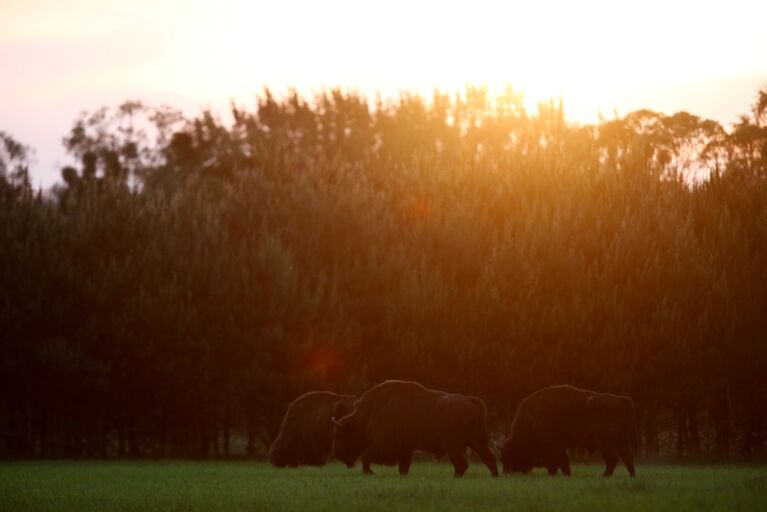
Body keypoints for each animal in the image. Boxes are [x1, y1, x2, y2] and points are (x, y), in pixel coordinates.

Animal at [332, 380, 500, 476]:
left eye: (340, 435)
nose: (337, 455)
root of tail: (471, 401)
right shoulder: (405, 449)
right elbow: (403, 467)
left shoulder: (382, 443)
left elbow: (366, 456)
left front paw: (369, 472)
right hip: (477, 442)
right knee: (489, 459)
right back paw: (495, 477)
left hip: (453, 446)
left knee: (462, 465)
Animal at [500, 386, 640, 478]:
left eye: (508, 455)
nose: (507, 473)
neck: (531, 421)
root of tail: (620, 399)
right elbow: (557, 464)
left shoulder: (555, 446)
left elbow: (563, 462)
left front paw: (567, 475)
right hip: (620, 441)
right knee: (627, 457)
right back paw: (631, 477)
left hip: (605, 443)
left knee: (613, 459)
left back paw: (605, 476)